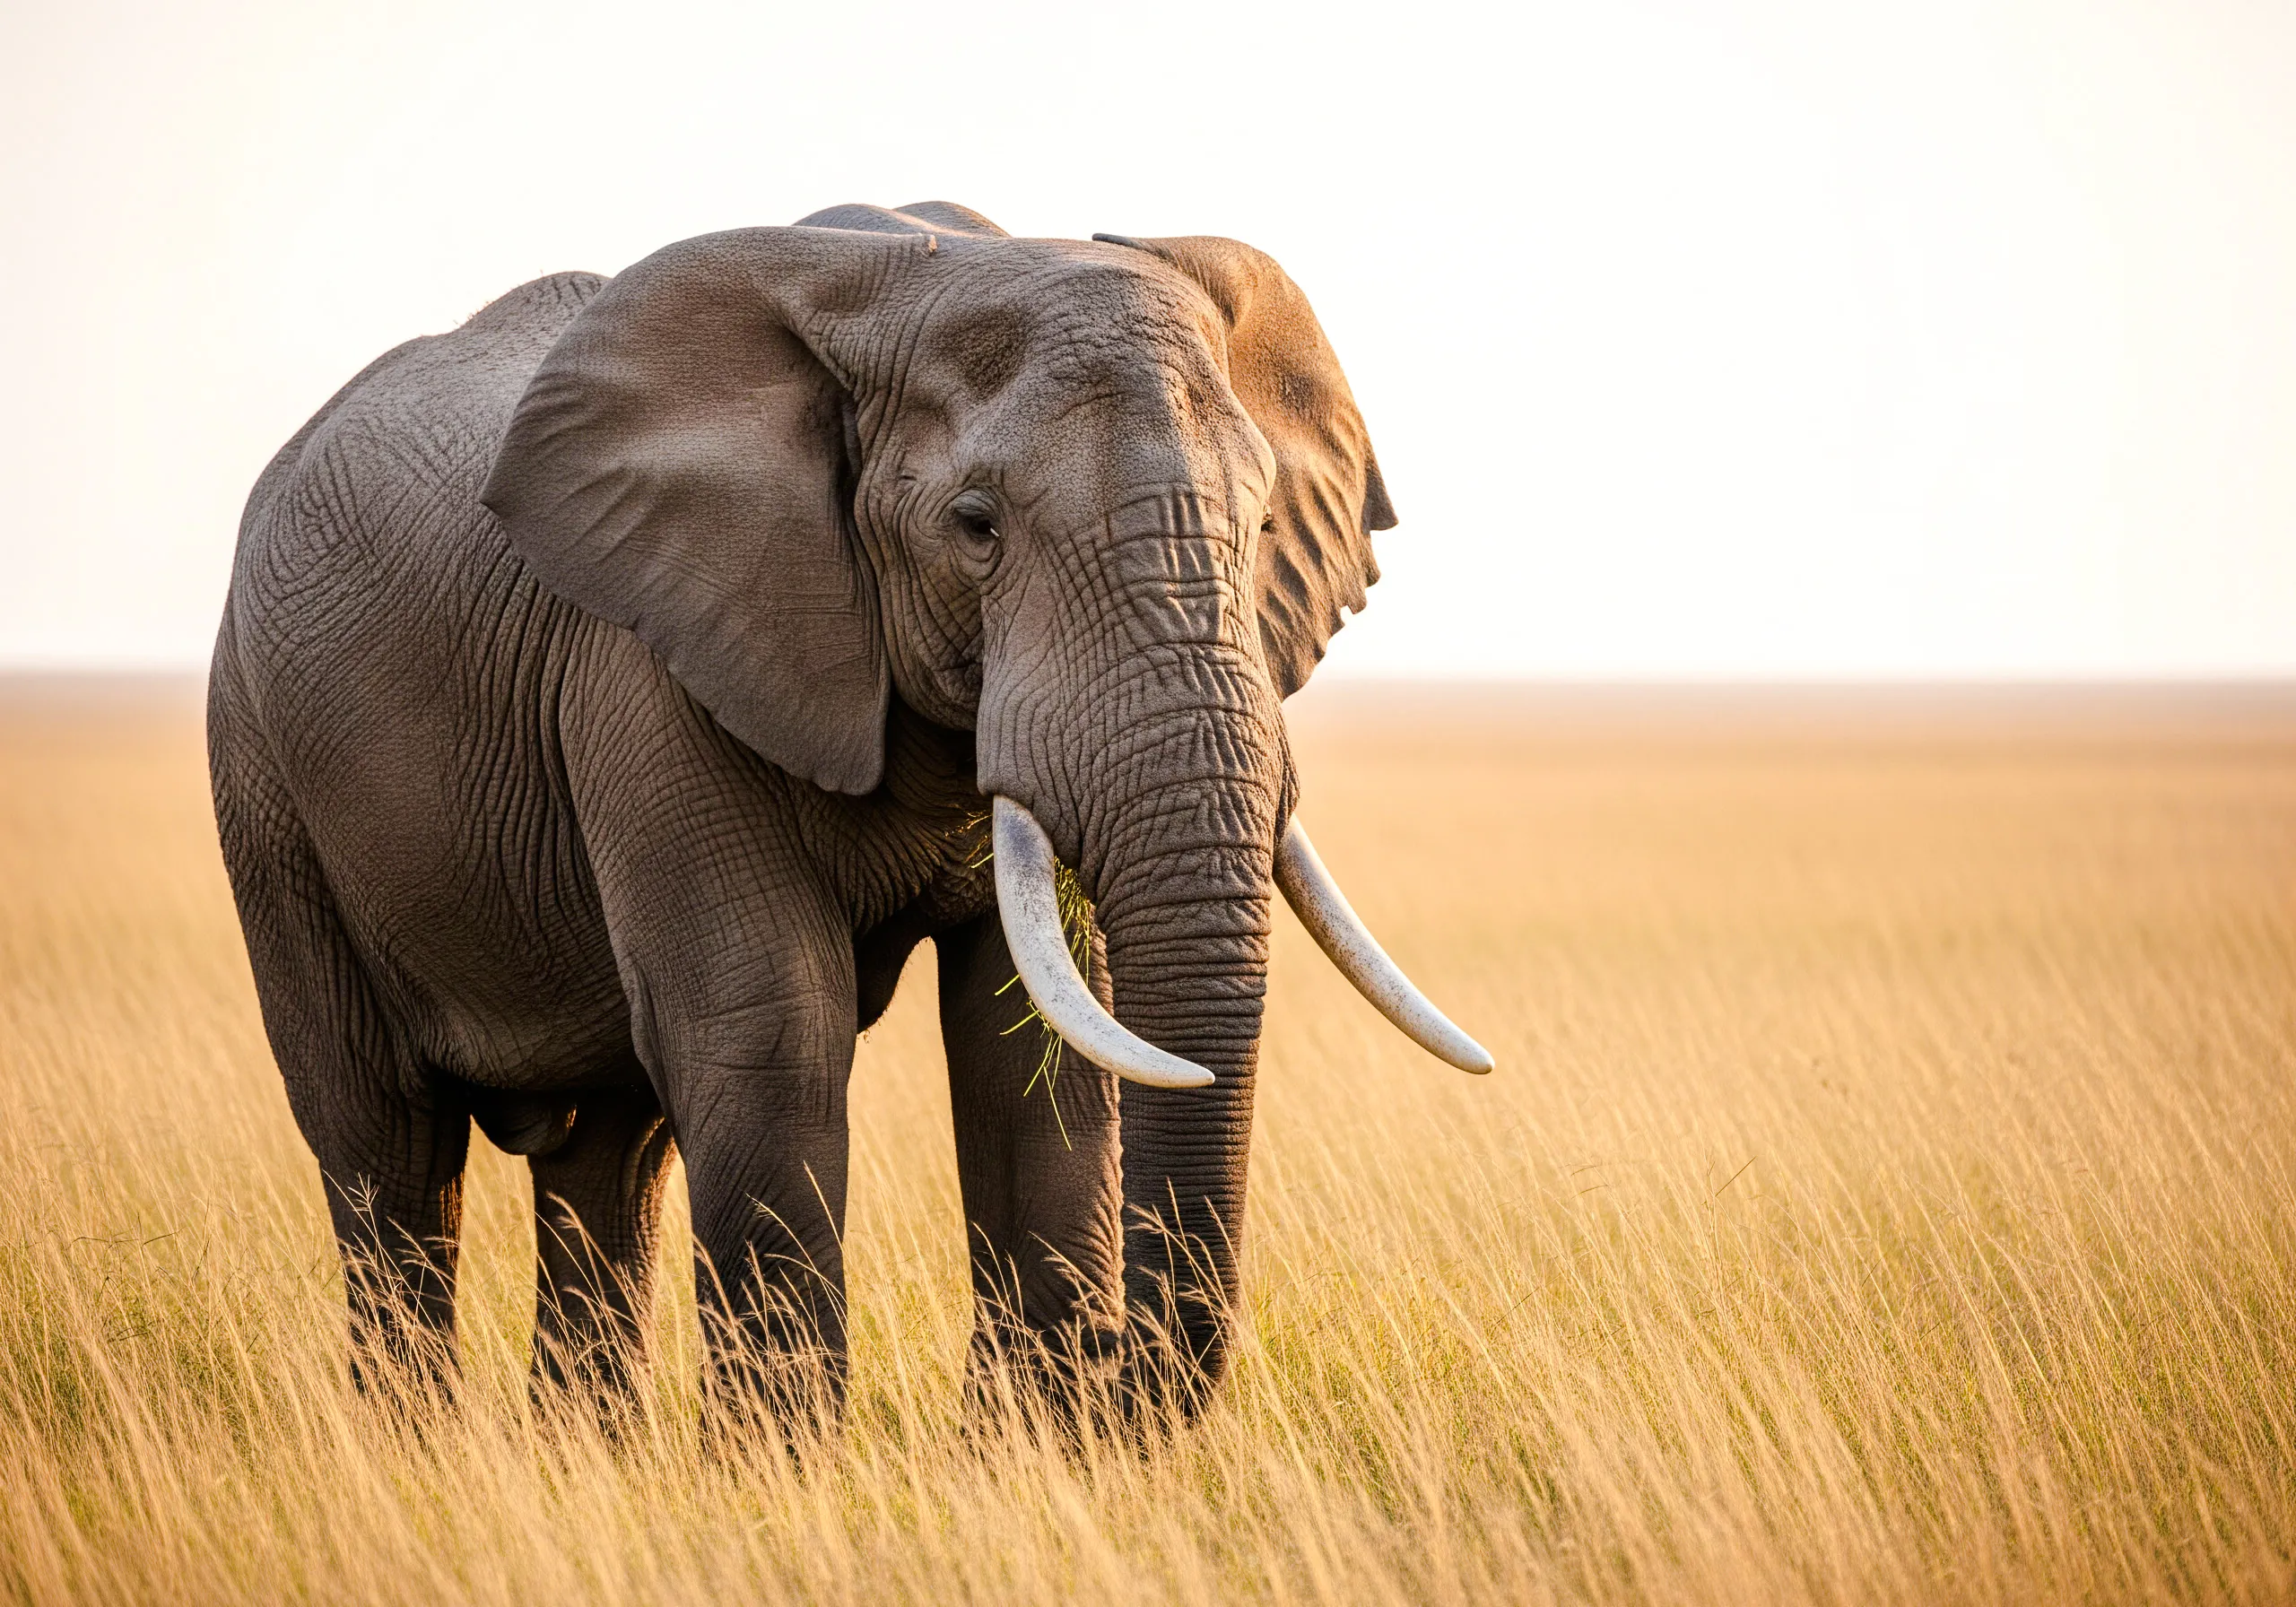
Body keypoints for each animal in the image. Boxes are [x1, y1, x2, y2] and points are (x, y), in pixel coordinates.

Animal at [207, 198, 1489, 1427]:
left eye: (1263, 525)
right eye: (975, 525)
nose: (1117, 1367)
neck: (917, 274)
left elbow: (1030, 1045)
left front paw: (1032, 1447)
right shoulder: (652, 662)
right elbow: (769, 1025)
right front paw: (786, 1464)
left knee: (608, 1153)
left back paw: (582, 1451)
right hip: (264, 780)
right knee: (385, 1140)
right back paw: (416, 1444)